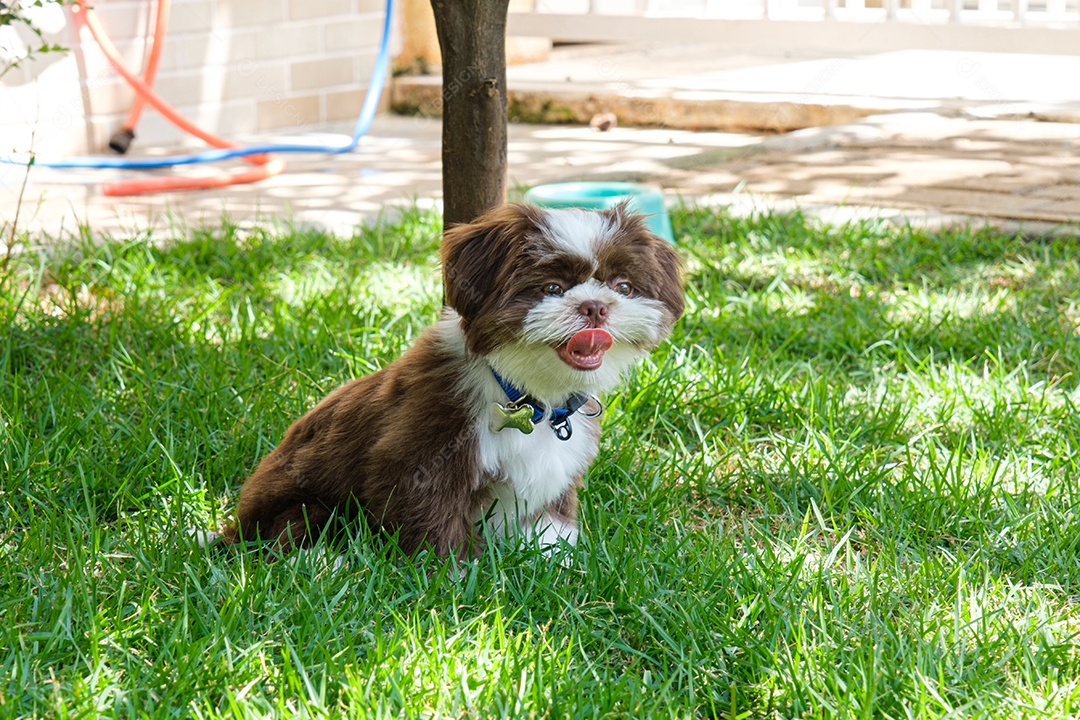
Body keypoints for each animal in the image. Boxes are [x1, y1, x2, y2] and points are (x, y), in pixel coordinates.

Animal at [212, 205, 682, 561]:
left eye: (624, 286)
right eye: (551, 287)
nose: (595, 307)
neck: (529, 396)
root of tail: (233, 530)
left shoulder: (556, 465)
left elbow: (550, 518)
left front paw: (558, 564)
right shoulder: (426, 447)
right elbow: (430, 515)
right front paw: (450, 577)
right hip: (301, 505)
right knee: (298, 533)